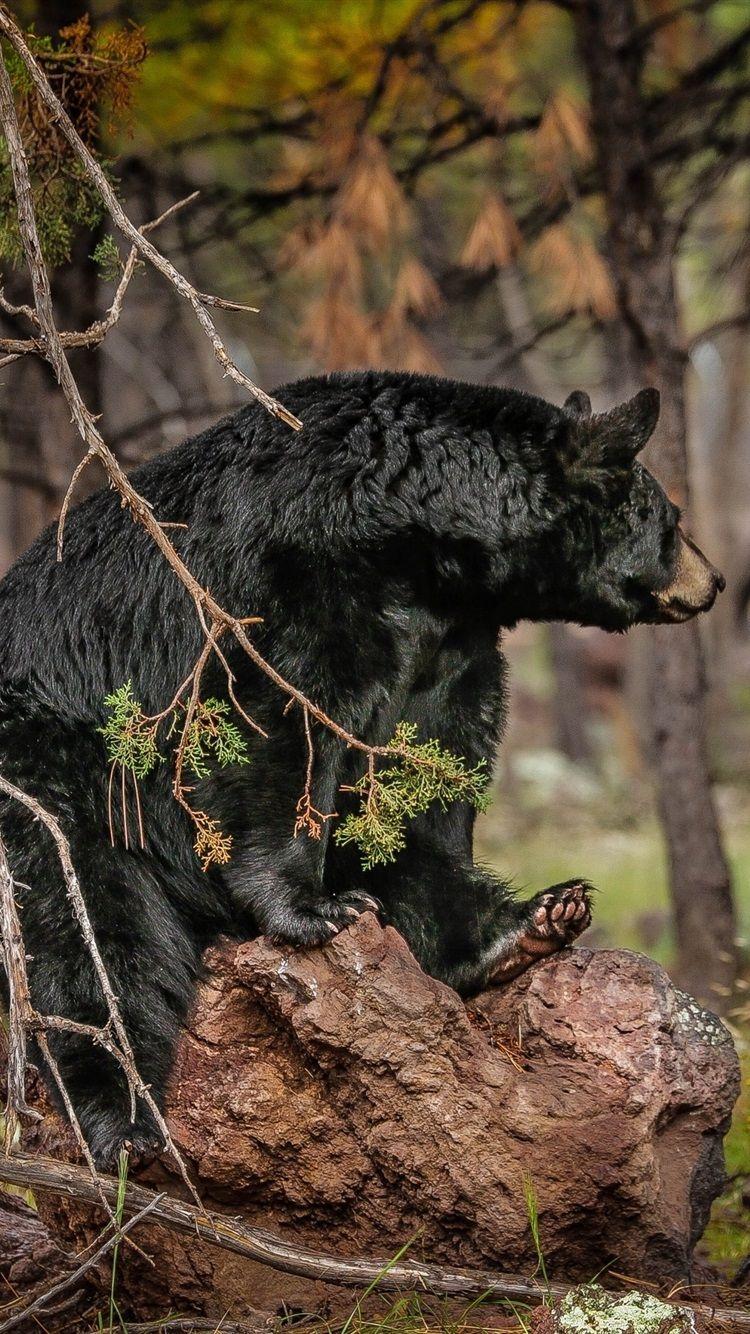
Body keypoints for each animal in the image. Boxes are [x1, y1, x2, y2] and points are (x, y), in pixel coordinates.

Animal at [0, 371, 724, 1167]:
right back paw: (122, 1117)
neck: (418, 532)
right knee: (86, 929)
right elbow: (283, 726)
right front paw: (308, 909)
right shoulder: (294, 582)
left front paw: (486, 925)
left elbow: (427, 780)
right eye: (671, 518)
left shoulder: (452, 644)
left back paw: (531, 921)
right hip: (57, 770)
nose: (716, 579)